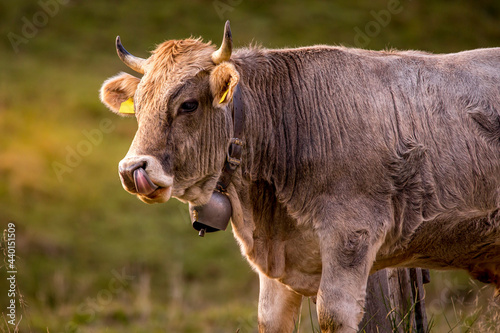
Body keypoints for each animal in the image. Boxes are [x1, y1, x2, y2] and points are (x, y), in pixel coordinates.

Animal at [100, 22, 500, 330]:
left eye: (188, 105)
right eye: (138, 106)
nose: (132, 169)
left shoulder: (351, 237)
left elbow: (333, 316)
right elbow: (269, 319)